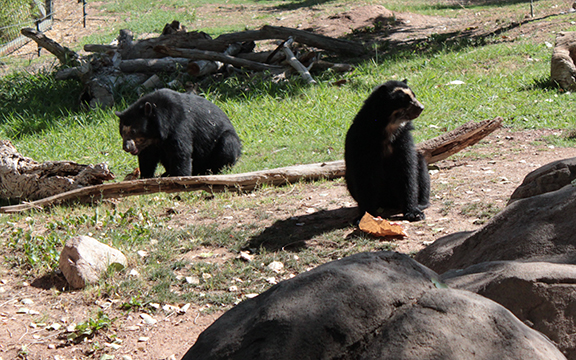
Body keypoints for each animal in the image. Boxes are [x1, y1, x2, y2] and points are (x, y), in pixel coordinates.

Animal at [344, 80, 430, 221]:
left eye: (414, 96)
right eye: (404, 100)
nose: (421, 107)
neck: (388, 128)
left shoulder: (403, 140)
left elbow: (407, 172)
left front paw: (415, 213)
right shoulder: (360, 142)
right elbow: (363, 177)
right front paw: (364, 216)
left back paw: (422, 204)